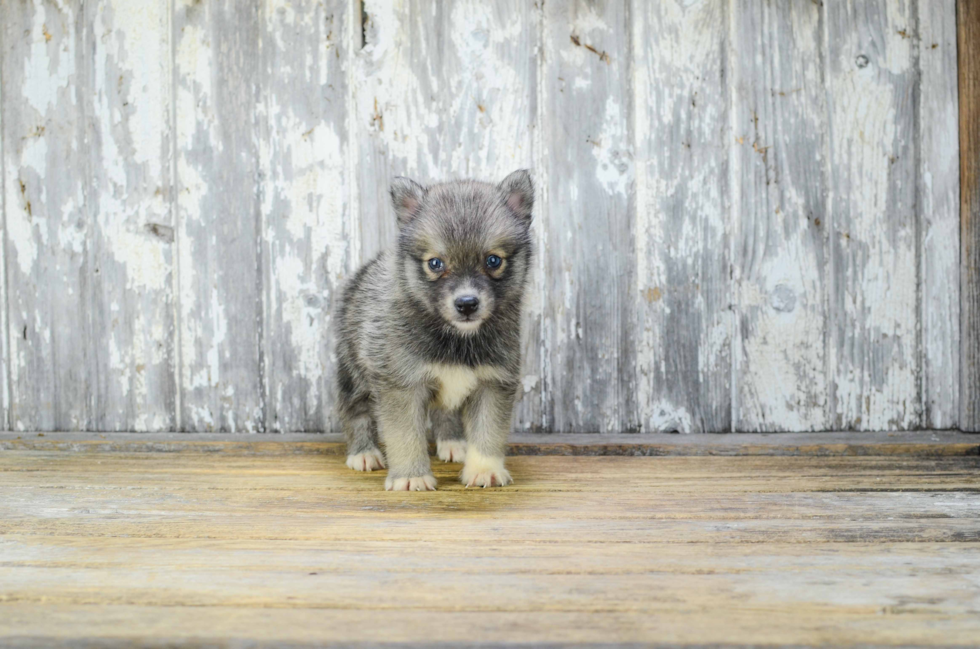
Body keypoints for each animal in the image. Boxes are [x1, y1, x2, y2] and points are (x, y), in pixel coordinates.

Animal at [336, 170, 536, 488]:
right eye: (435, 263)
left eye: (493, 260)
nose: (466, 304)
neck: (457, 337)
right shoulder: (401, 385)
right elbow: (405, 435)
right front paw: (411, 476)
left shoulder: (492, 382)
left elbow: (488, 430)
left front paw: (484, 469)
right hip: (353, 369)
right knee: (354, 409)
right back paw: (363, 452)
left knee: (445, 412)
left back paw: (453, 444)